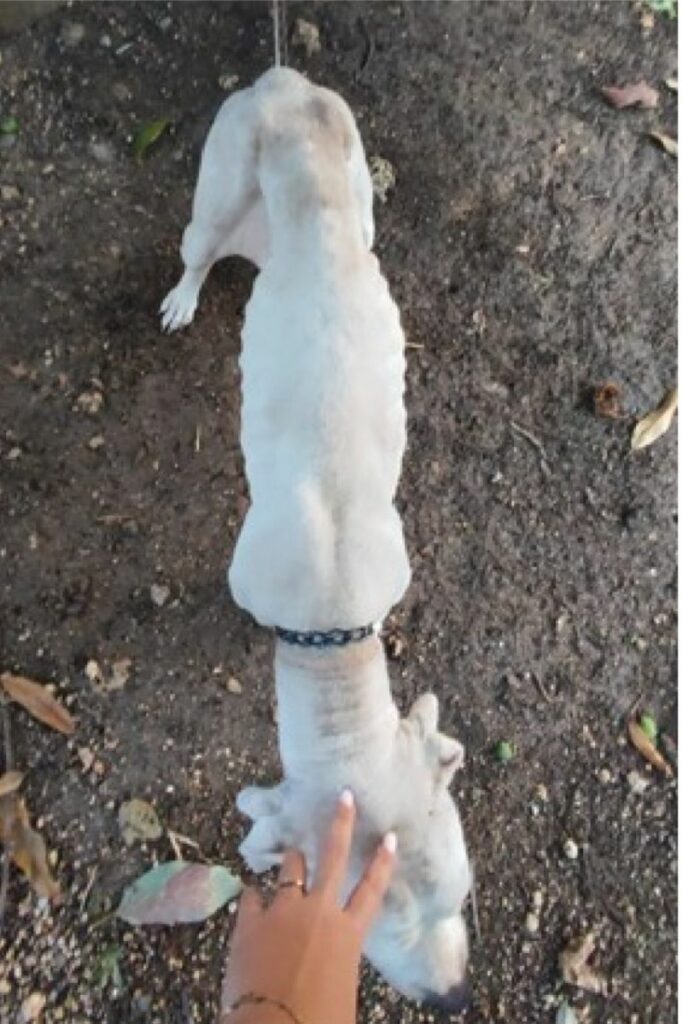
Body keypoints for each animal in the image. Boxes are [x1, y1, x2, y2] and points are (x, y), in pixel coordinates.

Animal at [162, 66, 471, 1007]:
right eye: (372, 922)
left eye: (461, 898)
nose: (457, 998)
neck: (332, 628)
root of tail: (283, 82)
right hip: (217, 185)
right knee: (197, 249)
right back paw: (184, 295)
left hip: (360, 186)